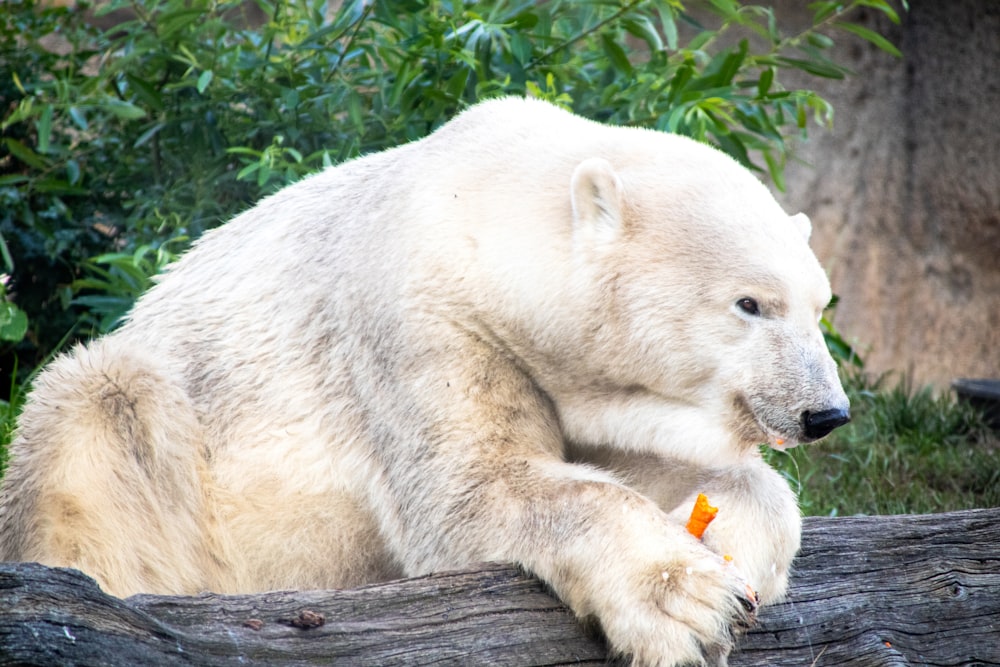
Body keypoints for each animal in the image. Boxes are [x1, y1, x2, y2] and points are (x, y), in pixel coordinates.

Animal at [0, 96, 852, 664]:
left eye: (820, 304)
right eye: (749, 302)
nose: (827, 412)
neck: (481, 206)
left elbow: (639, 459)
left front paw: (727, 541)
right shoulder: (418, 318)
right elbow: (475, 488)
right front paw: (687, 601)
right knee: (98, 408)